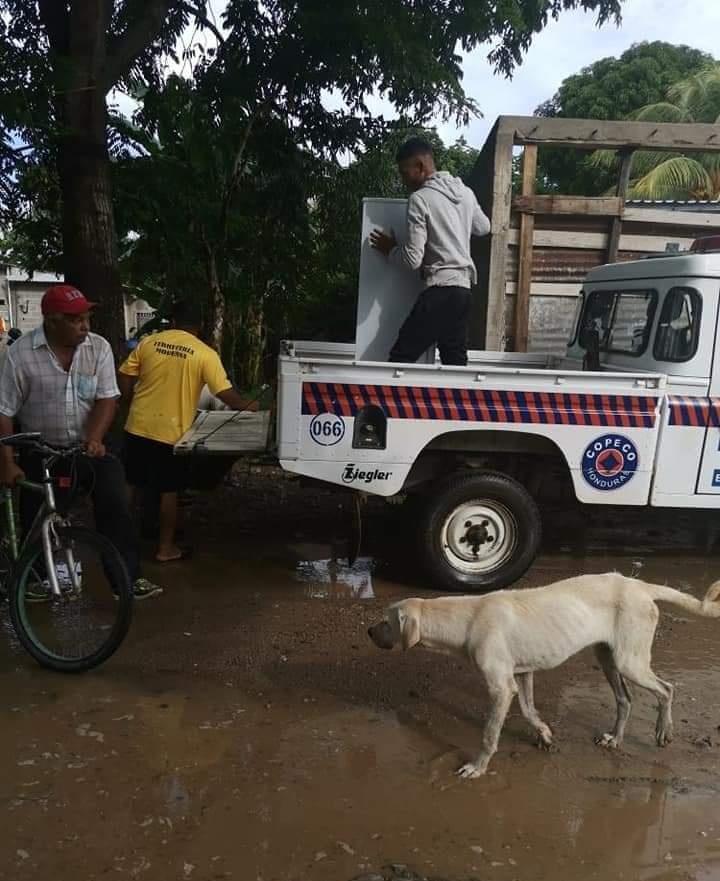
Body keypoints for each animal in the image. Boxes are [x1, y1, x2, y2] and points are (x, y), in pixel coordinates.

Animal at [368, 576, 716, 780]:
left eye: (386, 622)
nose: (368, 631)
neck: (466, 618)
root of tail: (639, 585)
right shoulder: (522, 675)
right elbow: (528, 710)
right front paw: (545, 735)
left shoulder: (500, 687)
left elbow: (489, 734)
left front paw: (478, 767)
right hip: (608, 658)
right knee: (625, 699)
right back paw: (615, 738)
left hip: (630, 661)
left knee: (667, 689)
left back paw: (663, 731)